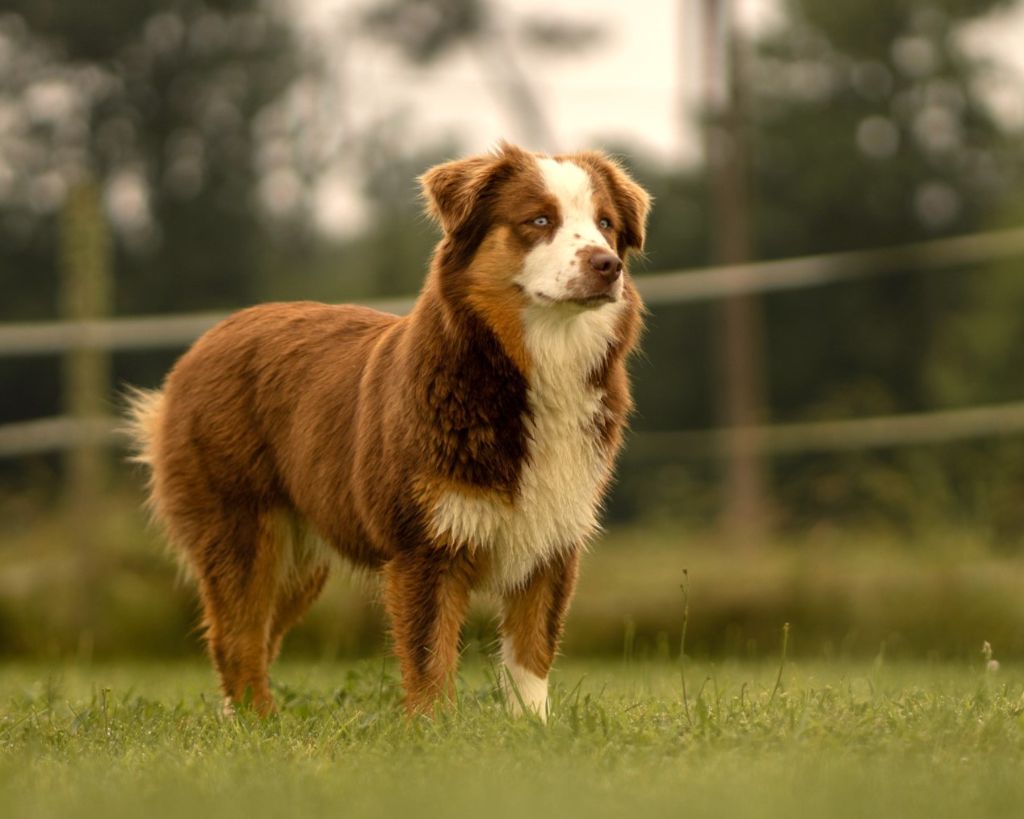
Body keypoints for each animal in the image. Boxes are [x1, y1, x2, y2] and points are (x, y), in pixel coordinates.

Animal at [128, 144, 651, 720]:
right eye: (539, 221)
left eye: (605, 224)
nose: (607, 265)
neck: (529, 368)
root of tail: (208, 338)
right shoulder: (423, 546)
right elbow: (429, 656)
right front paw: (435, 728)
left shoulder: (552, 541)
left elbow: (531, 655)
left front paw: (530, 728)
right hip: (240, 528)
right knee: (235, 637)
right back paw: (255, 724)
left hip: (299, 559)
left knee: (258, 636)